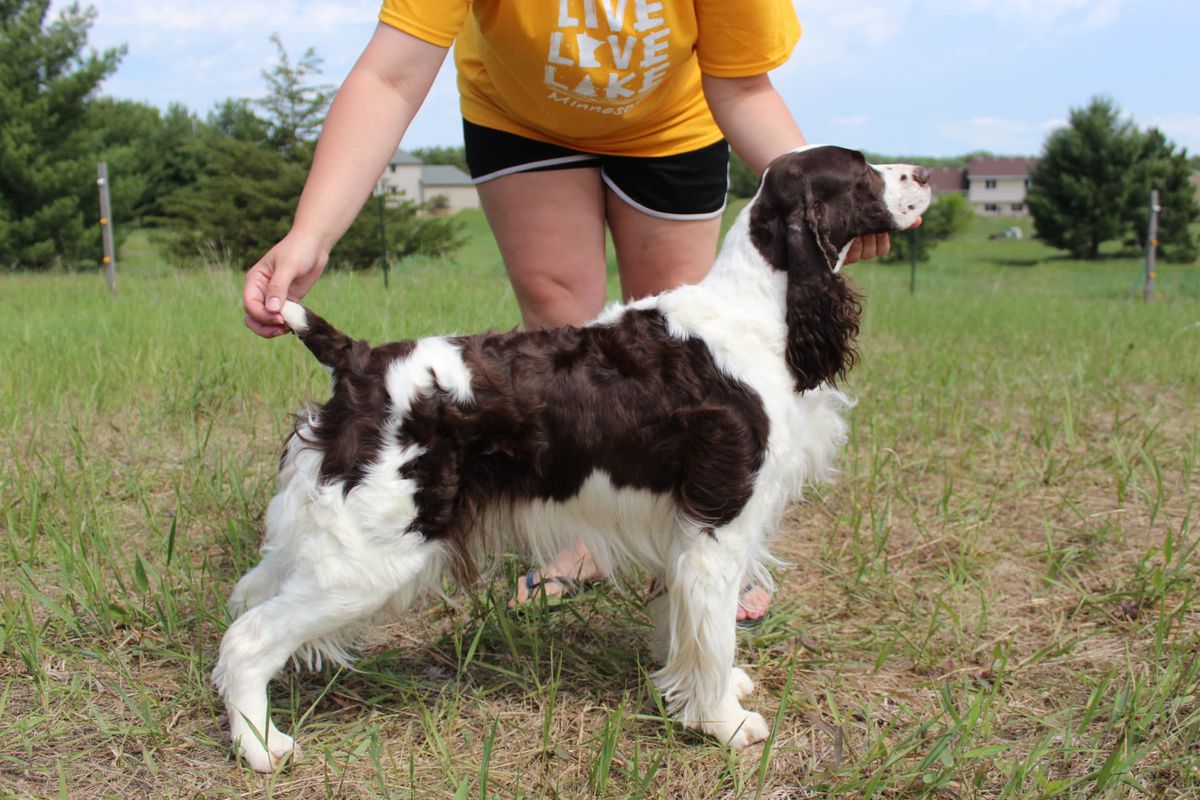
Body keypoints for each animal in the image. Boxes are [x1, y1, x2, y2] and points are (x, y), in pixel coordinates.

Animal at [213, 143, 926, 767]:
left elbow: (685, 629)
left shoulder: (679, 528)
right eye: (861, 171)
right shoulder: (718, 526)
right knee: (248, 640)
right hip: (374, 555)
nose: (922, 173)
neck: (759, 310)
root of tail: (358, 361)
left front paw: (701, 694)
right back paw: (262, 748)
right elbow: (713, 636)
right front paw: (727, 723)